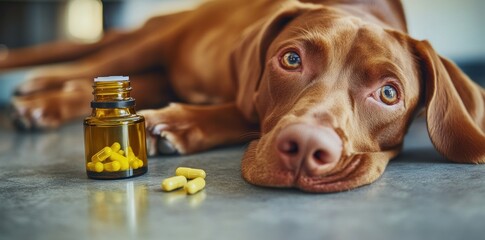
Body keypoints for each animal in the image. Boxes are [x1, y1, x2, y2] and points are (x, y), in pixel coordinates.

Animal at [0, 0, 484, 192]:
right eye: (290, 59)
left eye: (387, 93)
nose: (306, 147)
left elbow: (241, 111)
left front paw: (176, 125)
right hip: (156, 38)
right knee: (87, 60)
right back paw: (37, 92)